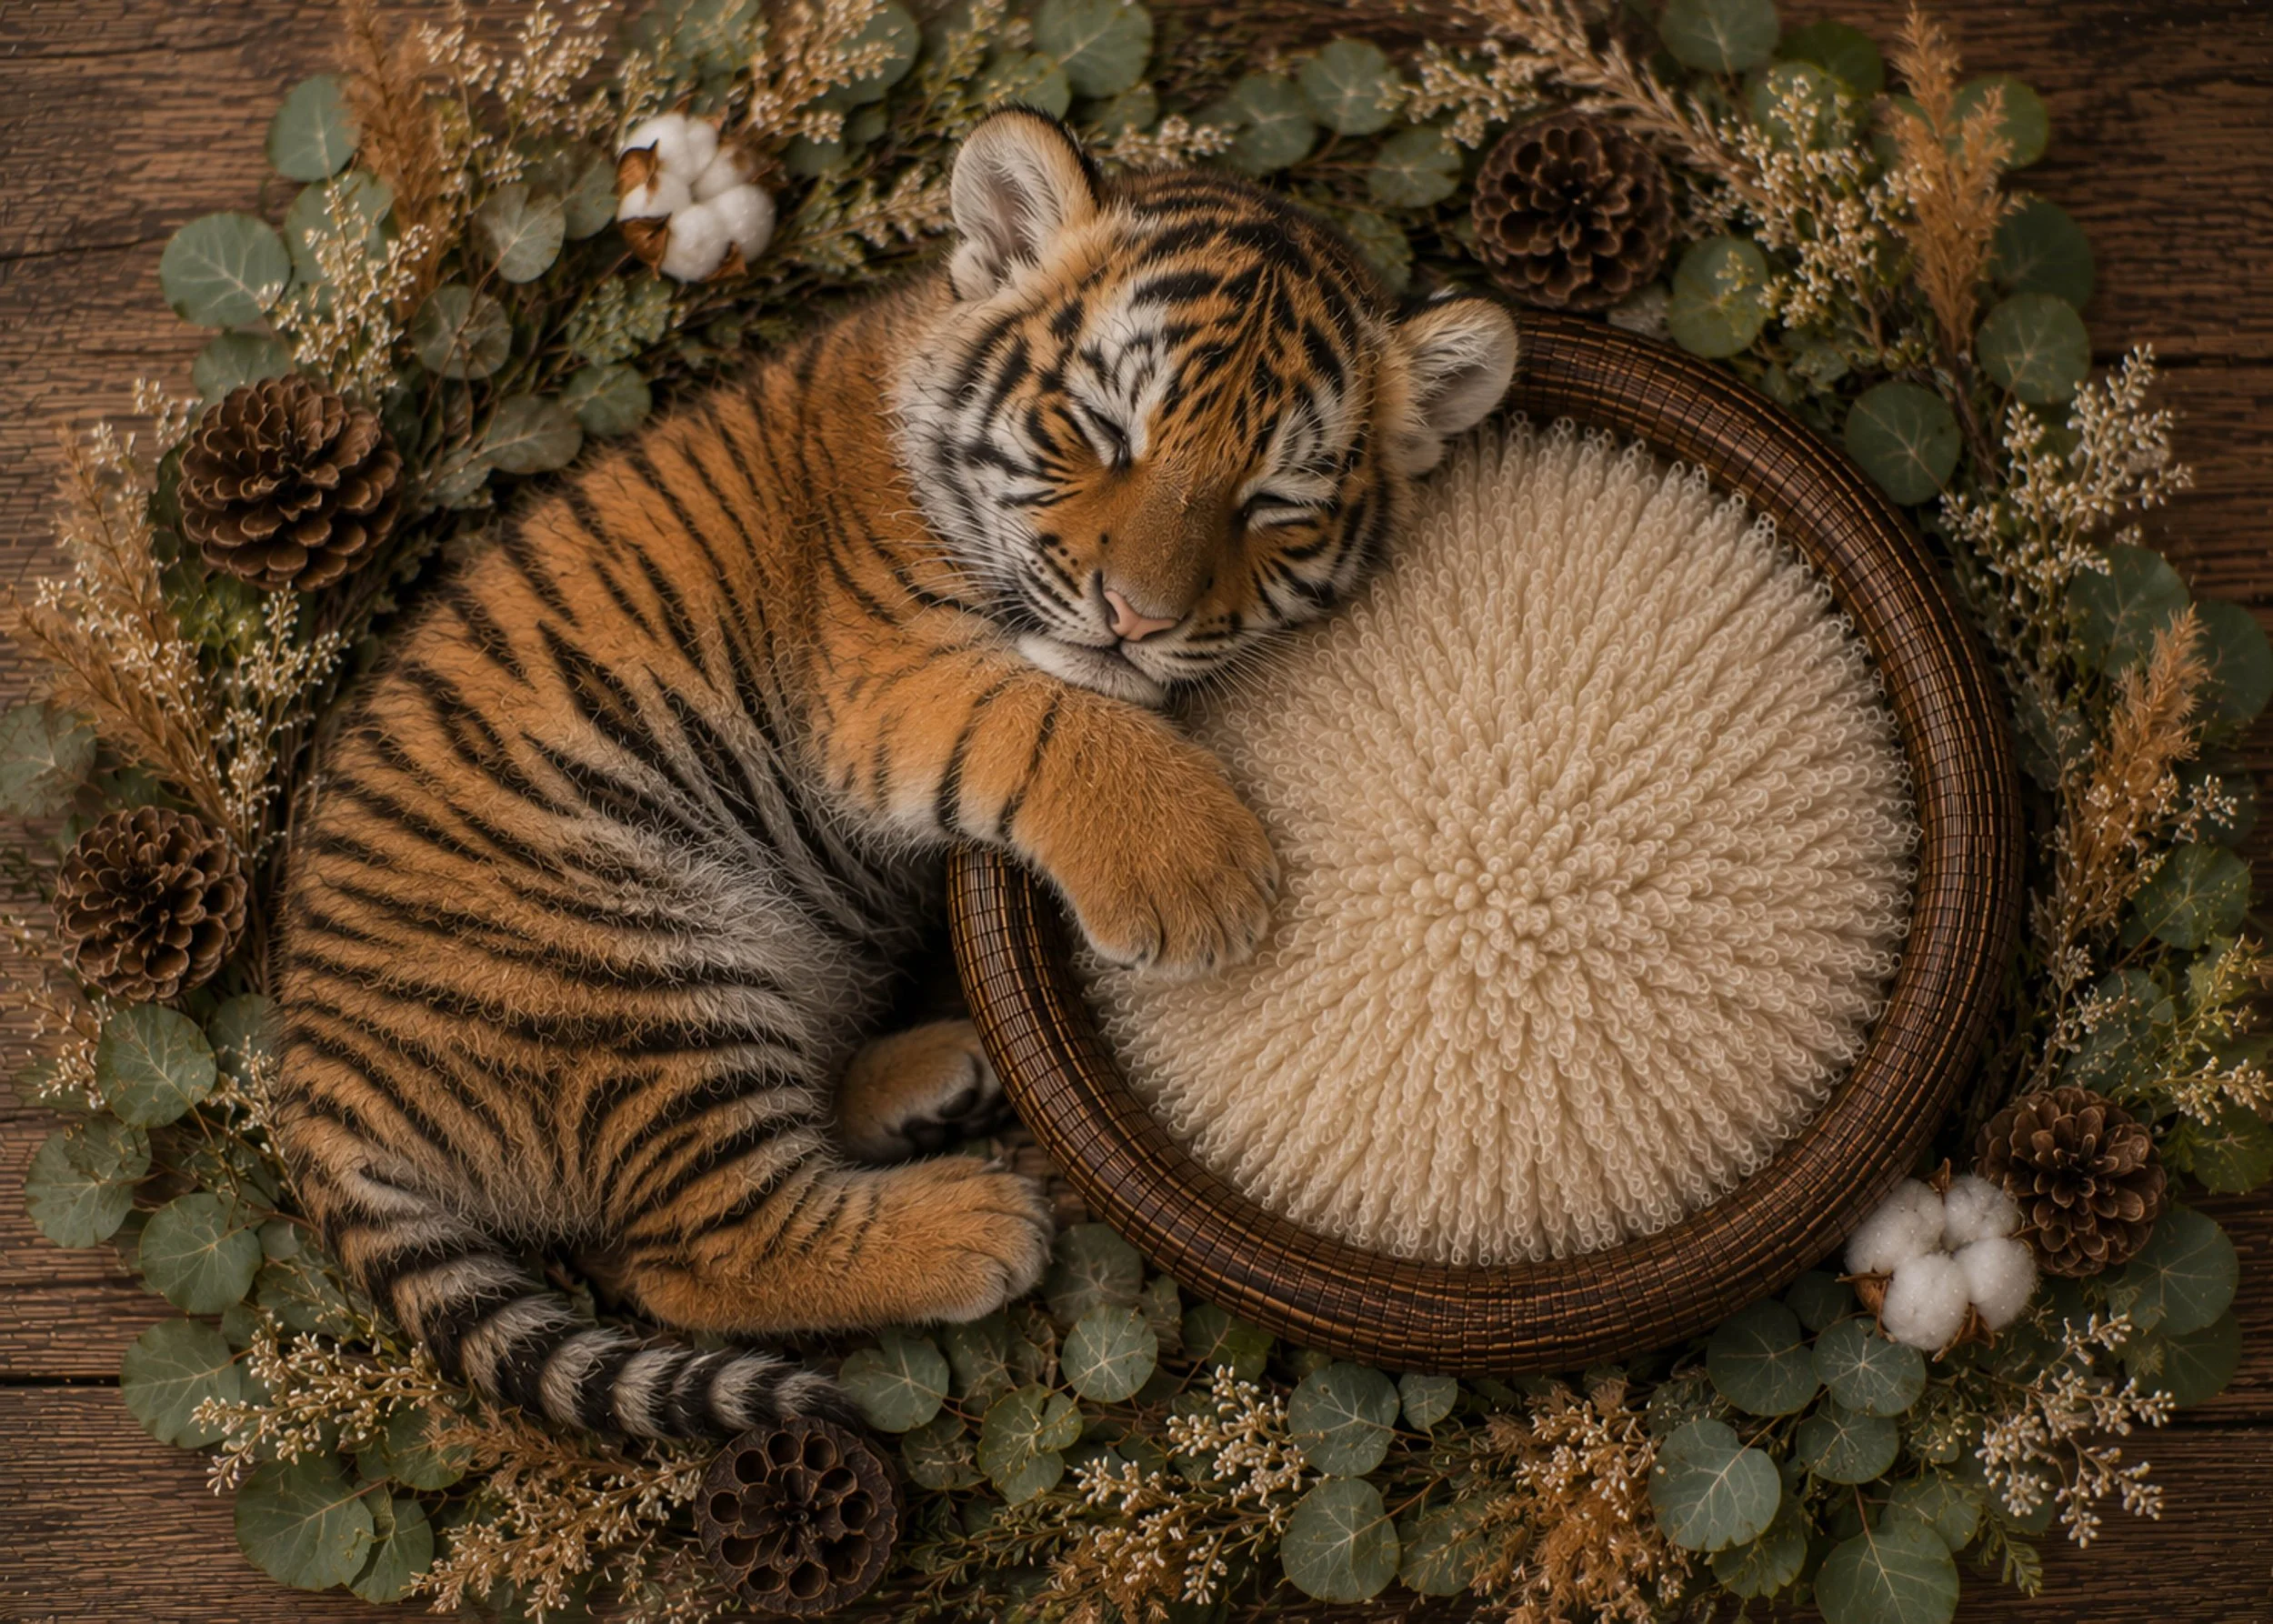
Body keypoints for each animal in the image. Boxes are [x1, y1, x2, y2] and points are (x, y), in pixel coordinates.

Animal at [273, 108, 1519, 1438]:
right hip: (629, 965)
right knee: (697, 1248)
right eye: (1103, 433)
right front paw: (1203, 872)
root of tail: (315, 1083)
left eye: (1274, 503)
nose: (1136, 616)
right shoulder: (879, 679)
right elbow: (1046, 716)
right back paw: (981, 1221)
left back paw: (936, 1080)